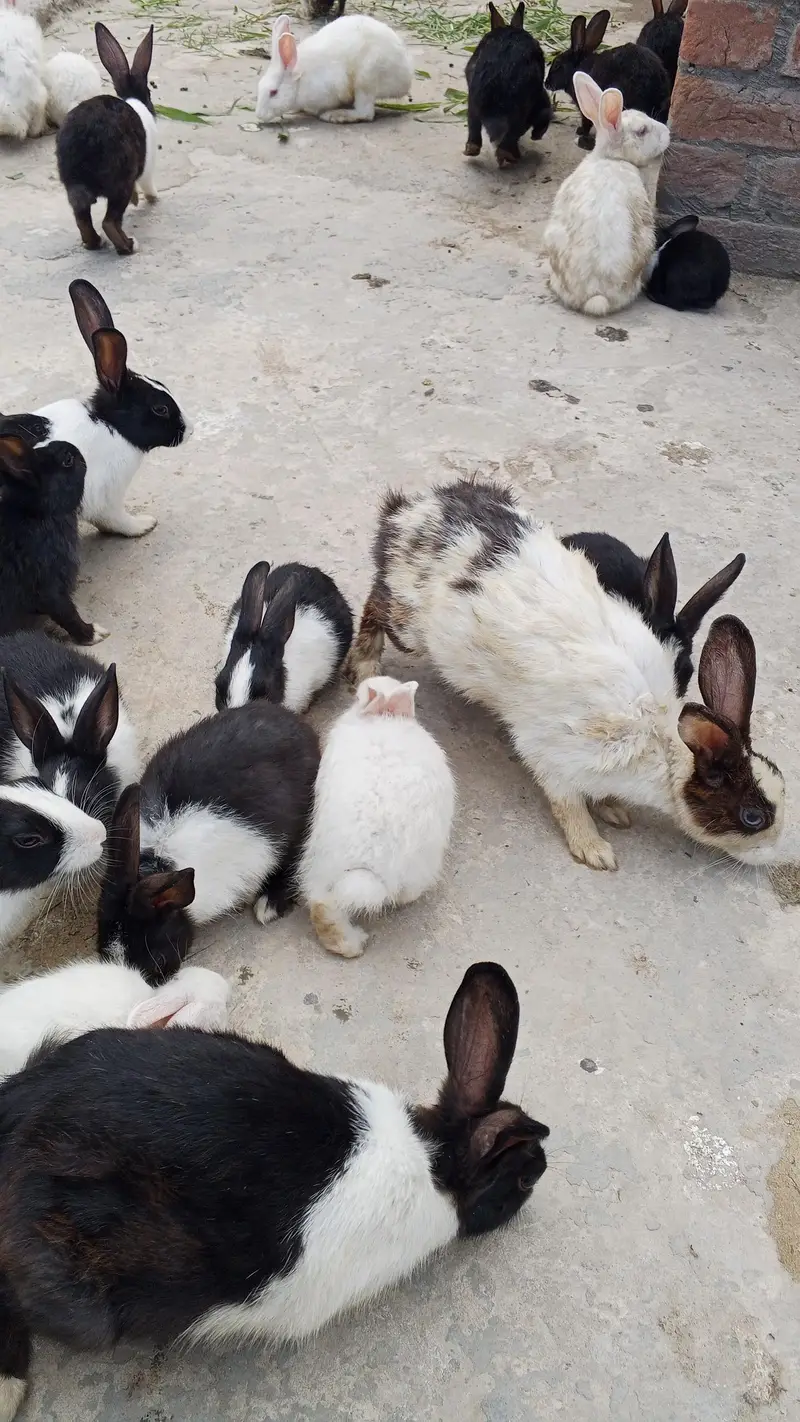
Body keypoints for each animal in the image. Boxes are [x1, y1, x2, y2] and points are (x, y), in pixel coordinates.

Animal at [0, 278, 190, 538]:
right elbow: (116, 521)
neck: (109, 426)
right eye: (160, 409)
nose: (189, 430)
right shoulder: (106, 499)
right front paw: (144, 524)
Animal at [0, 432, 107, 647]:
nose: (79, 452)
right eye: (68, 460)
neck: (39, 514)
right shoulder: (48, 587)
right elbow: (67, 614)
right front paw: (93, 633)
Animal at [56, 23, 156, 255]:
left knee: (82, 218)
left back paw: (95, 243)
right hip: (121, 182)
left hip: (74, 188)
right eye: (149, 93)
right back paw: (128, 246)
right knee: (109, 222)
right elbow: (147, 184)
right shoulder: (147, 167)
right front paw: (153, 198)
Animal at [256, 13, 413, 124]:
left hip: (366, 80)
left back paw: (335, 115)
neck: (299, 82)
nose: (259, 115)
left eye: (273, 92)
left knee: (366, 113)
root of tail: (406, 78)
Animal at [464, 3, 552, 168]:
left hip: (472, 101)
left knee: (474, 126)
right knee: (513, 133)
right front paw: (537, 135)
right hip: (523, 107)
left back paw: (471, 150)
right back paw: (510, 156)